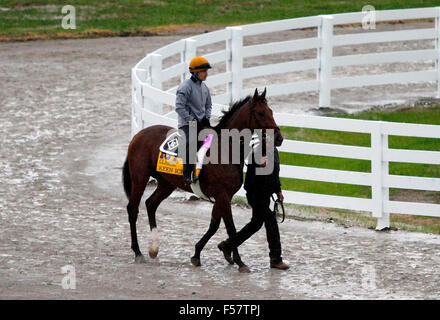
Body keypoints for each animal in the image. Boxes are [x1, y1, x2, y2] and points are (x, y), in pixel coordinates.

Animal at [122, 88, 284, 272]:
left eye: (271, 111)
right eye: (260, 113)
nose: (279, 137)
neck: (226, 150)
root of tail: (139, 134)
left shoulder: (222, 196)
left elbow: (214, 225)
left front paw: (197, 254)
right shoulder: (223, 196)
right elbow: (230, 227)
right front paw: (239, 261)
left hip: (166, 183)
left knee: (150, 204)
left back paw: (153, 248)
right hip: (140, 178)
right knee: (133, 209)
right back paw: (137, 252)